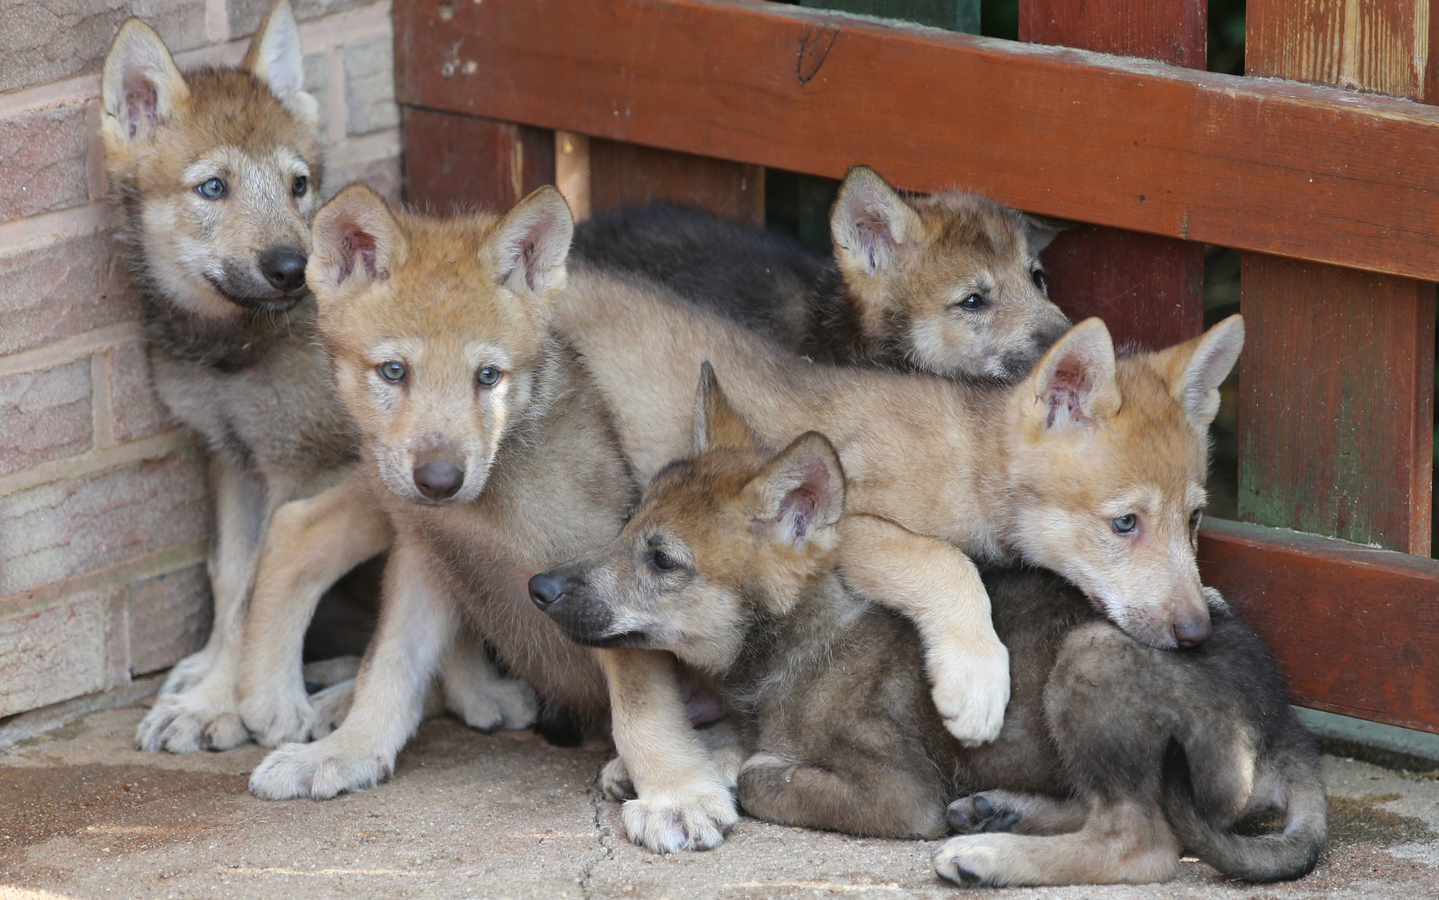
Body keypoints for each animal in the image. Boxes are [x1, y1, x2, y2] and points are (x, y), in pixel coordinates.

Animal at [99, 0, 369, 753]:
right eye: (213, 188)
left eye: (298, 185)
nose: (291, 267)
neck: (233, 352)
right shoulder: (232, 457)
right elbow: (229, 575)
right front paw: (211, 680)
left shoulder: (303, 468)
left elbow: (257, 591)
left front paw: (215, 706)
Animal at [242, 185, 741, 855]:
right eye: (394, 371)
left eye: (487, 376)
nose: (439, 480)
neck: (491, 513)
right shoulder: (425, 557)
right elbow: (388, 667)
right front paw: (345, 752)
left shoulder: (611, 582)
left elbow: (641, 708)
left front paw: (677, 794)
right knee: (298, 527)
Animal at [531, 371, 1327, 887]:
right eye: (625, 527)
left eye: (662, 559)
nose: (538, 588)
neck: (803, 638)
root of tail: (1287, 735)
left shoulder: (898, 790)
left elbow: (762, 773)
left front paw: (724, 769)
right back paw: (998, 811)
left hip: (1091, 653)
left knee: (1144, 843)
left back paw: (990, 855)